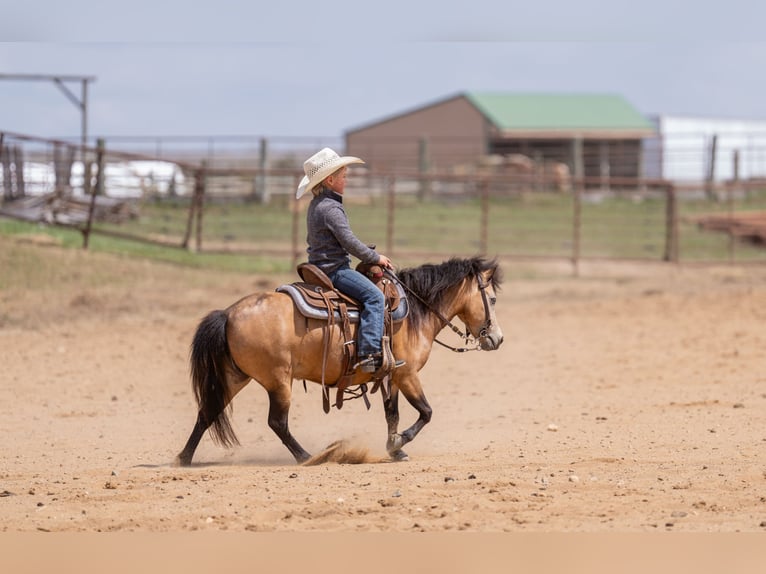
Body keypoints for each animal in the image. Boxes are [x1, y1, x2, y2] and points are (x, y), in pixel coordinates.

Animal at [175, 256, 504, 465]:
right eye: (493, 299)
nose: (497, 339)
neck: (414, 311)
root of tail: (228, 313)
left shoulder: (392, 376)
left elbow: (393, 414)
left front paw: (395, 449)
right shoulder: (408, 374)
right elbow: (426, 412)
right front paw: (399, 443)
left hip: (235, 377)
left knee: (207, 412)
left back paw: (184, 458)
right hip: (278, 381)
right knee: (277, 422)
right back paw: (309, 457)